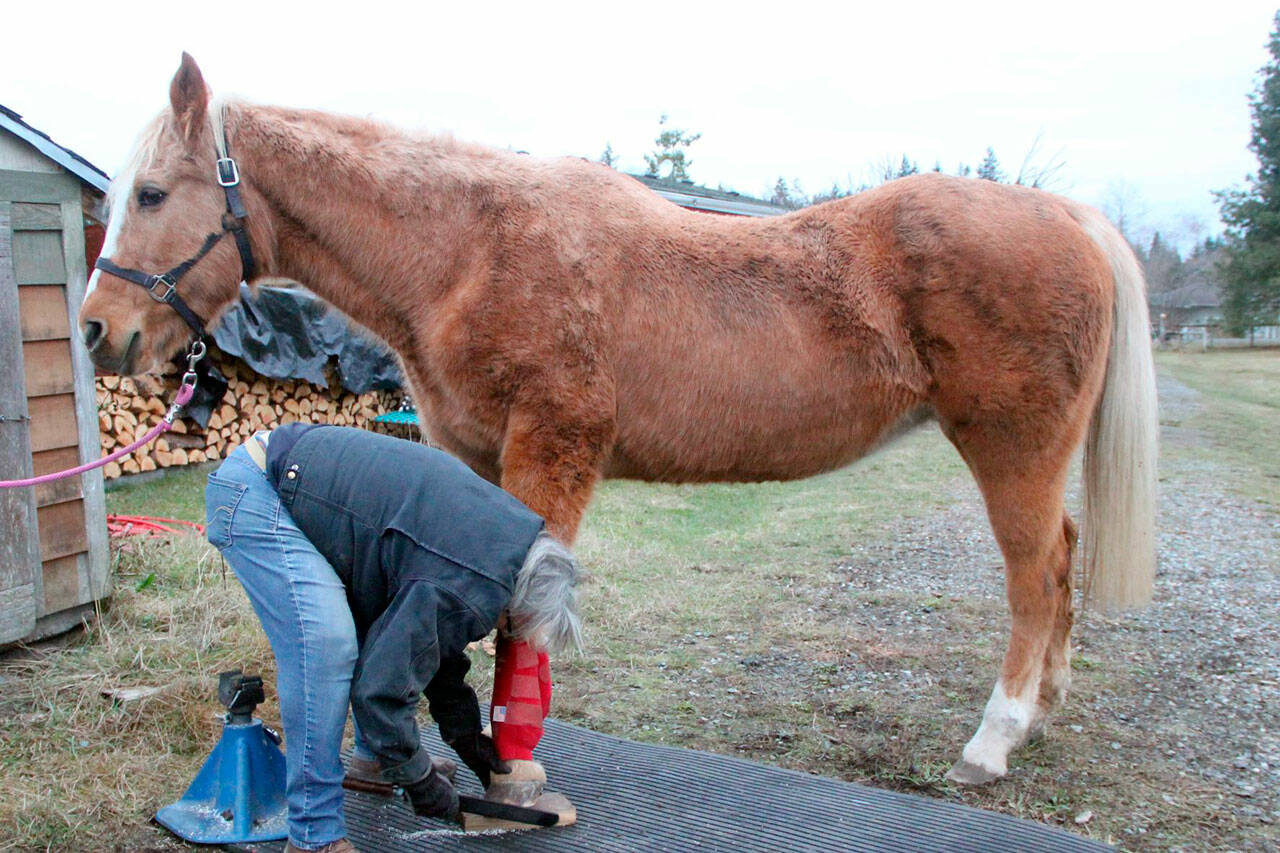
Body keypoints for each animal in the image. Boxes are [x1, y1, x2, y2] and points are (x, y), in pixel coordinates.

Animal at [79, 54, 1157, 785]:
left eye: (153, 192)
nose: (96, 332)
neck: (471, 248)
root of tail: (1071, 218)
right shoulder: (468, 456)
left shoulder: (551, 449)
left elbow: (520, 616)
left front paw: (514, 769)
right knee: (1059, 561)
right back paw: (1044, 707)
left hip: (1010, 448)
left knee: (1036, 575)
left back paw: (995, 736)